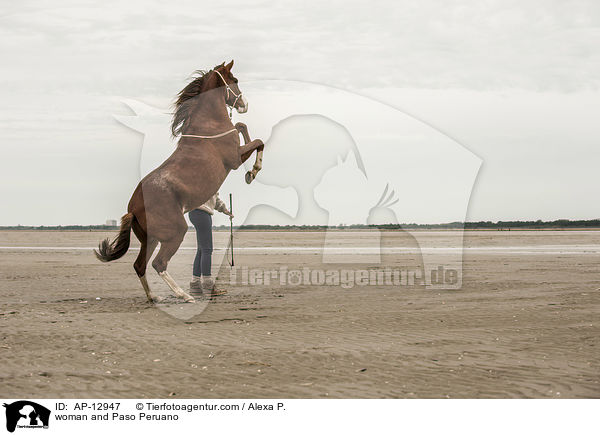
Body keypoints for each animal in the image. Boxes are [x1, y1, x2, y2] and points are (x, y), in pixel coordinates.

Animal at [94, 62, 262, 304]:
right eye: (235, 80)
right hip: (176, 232)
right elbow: (258, 141)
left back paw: (153, 297)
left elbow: (242, 126)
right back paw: (184, 295)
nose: (244, 104)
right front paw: (253, 172)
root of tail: (132, 207)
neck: (207, 125)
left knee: (139, 265)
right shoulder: (234, 159)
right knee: (158, 263)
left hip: (151, 239)